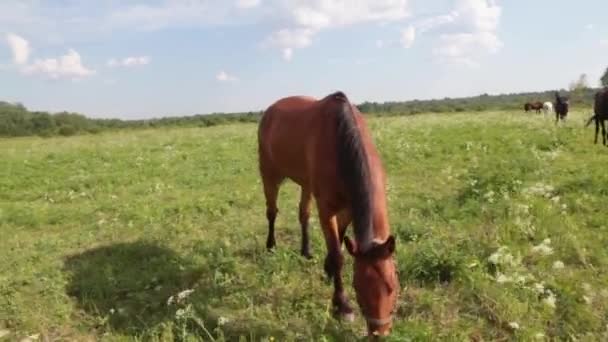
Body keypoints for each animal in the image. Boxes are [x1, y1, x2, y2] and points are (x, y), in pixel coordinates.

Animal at [256, 91, 400, 336]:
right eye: (357, 289)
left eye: (392, 286)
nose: (378, 333)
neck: (342, 140)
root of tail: (270, 111)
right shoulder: (326, 209)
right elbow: (338, 253)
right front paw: (342, 306)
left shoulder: (348, 209)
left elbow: (340, 241)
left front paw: (328, 270)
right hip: (269, 174)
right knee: (272, 211)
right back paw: (271, 246)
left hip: (305, 183)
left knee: (303, 214)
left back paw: (306, 251)